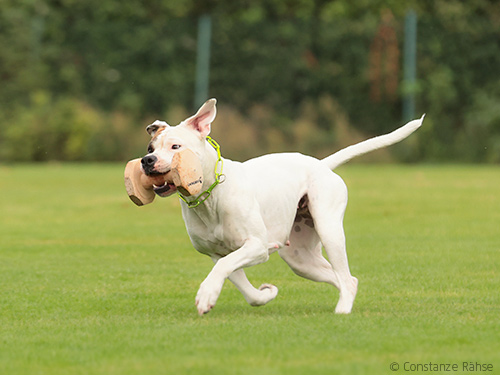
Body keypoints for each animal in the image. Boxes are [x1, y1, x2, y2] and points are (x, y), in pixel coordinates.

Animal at [139, 98, 424, 316]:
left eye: (176, 146)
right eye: (150, 147)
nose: (147, 160)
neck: (211, 196)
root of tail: (321, 164)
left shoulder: (255, 246)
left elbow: (223, 268)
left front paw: (206, 294)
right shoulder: (217, 253)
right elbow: (240, 283)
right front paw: (264, 295)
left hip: (329, 230)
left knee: (345, 276)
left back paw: (342, 312)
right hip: (300, 258)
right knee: (345, 280)